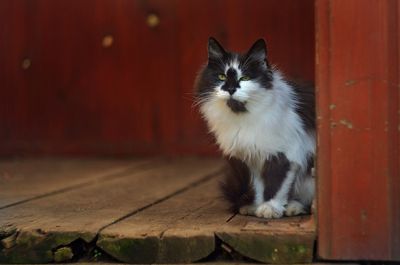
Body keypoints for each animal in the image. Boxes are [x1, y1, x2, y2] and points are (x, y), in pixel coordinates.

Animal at [195, 37, 316, 219]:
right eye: (221, 76)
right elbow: (259, 187)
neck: (241, 117)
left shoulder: (285, 155)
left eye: (244, 78)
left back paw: (294, 207)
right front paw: (256, 206)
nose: (231, 89)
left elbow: (276, 185)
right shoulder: (252, 158)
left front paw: (270, 208)